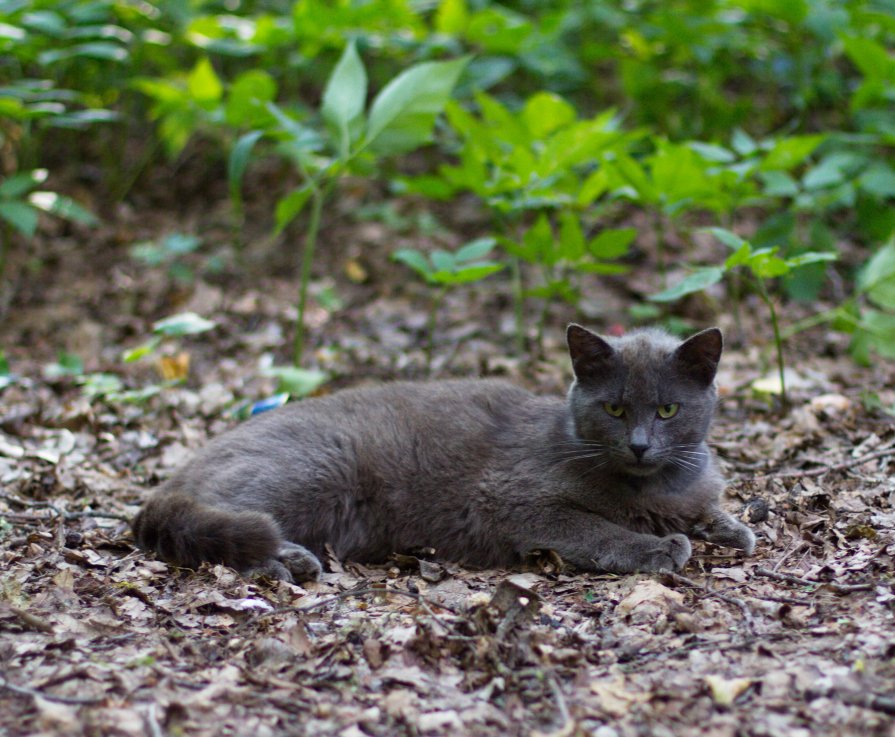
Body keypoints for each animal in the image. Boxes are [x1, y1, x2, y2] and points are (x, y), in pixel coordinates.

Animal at [133, 326, 756, 580]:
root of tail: (173, 477)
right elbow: (597, 530)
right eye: (616, 409)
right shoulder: (512, 499)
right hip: (315, 467)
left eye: (668, 410)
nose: (640, 445)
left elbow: (709, 513)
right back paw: (285, 560)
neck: (653, 485)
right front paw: (658, 548)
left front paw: (734, 527)